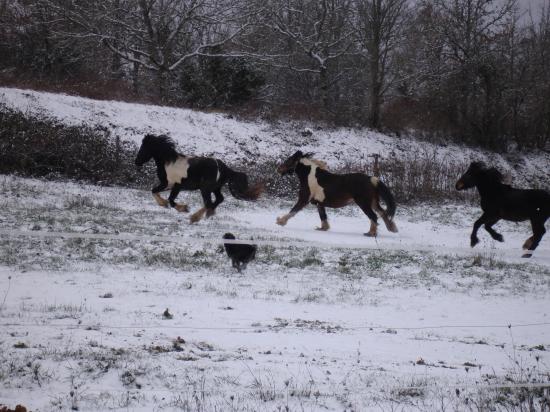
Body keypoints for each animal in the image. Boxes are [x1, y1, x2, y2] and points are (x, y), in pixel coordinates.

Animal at [134, 134, 264, 222]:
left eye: (143, 148)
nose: (137, 162)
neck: (168, 163)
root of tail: (224, 168)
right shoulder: (169, 185)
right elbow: (155, 192)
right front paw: (164, 204)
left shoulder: (172, 185)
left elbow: (169, 199)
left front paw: (183, 208)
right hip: (214, 188)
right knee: (218, 200)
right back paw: (208, 214)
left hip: (205, 189)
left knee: (208, 203)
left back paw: (195, 217)